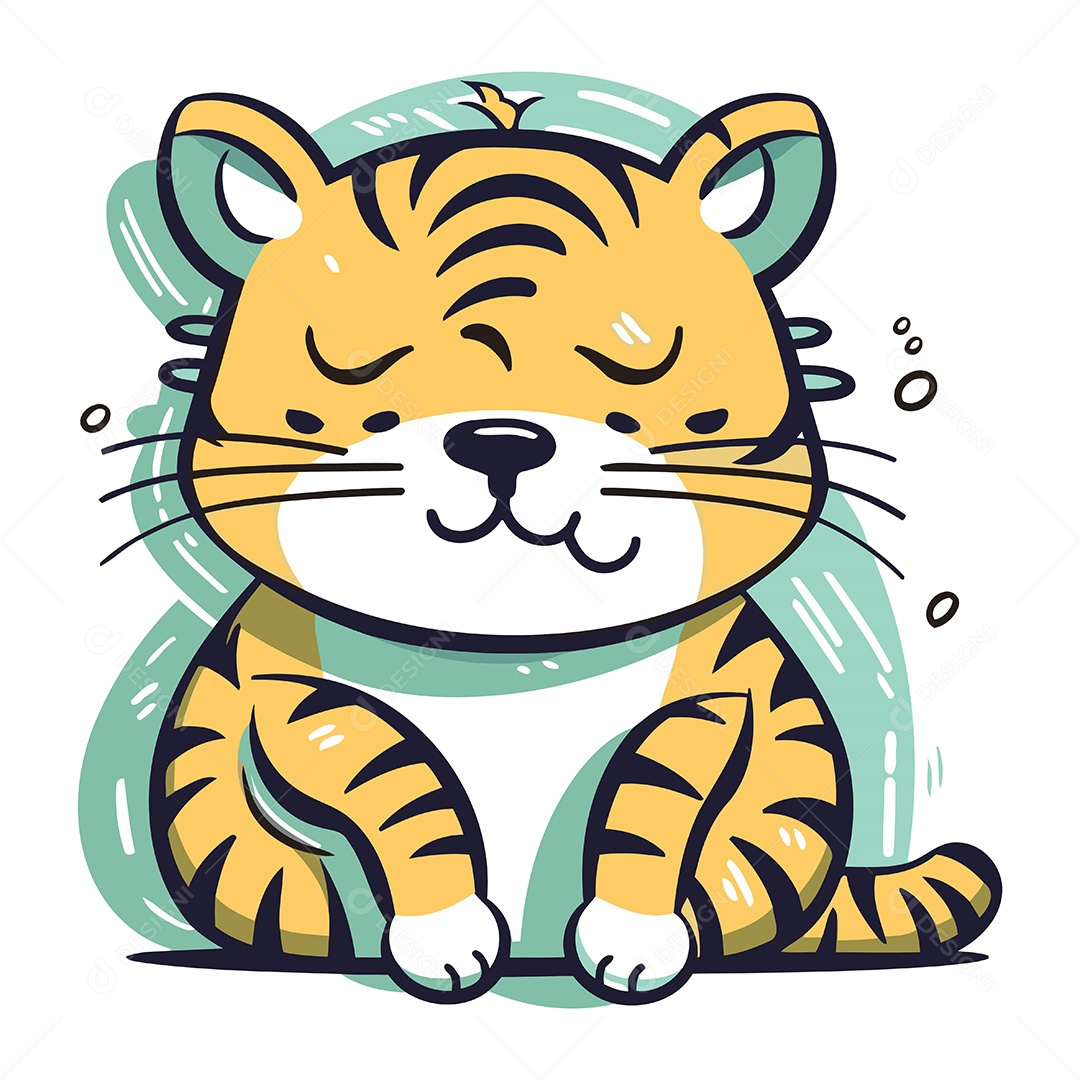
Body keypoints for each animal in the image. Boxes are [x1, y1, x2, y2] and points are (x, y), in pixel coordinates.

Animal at [135, 81, 1000, 1004]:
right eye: (369, 376)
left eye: (637, 379)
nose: (502, 442)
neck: (514, 651)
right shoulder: (299, 698)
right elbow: (402, 793)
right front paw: (446, 935)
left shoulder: (710, 701)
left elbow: (650, 805)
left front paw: (631, 939)